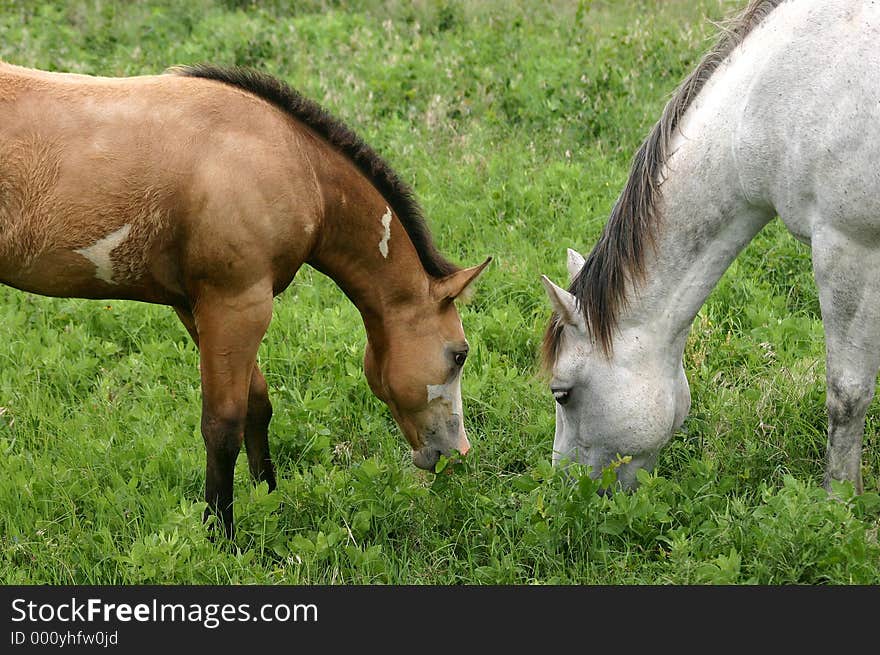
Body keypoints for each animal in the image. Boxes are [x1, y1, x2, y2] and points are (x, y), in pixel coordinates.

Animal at [0, 62, 488, 540]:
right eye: (459, 355)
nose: (459, 450)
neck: (292, 160)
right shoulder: (237, 304)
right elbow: (223, 425)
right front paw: (221, 535)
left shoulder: (198, 308)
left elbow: (257, 404)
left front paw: (268, 497)